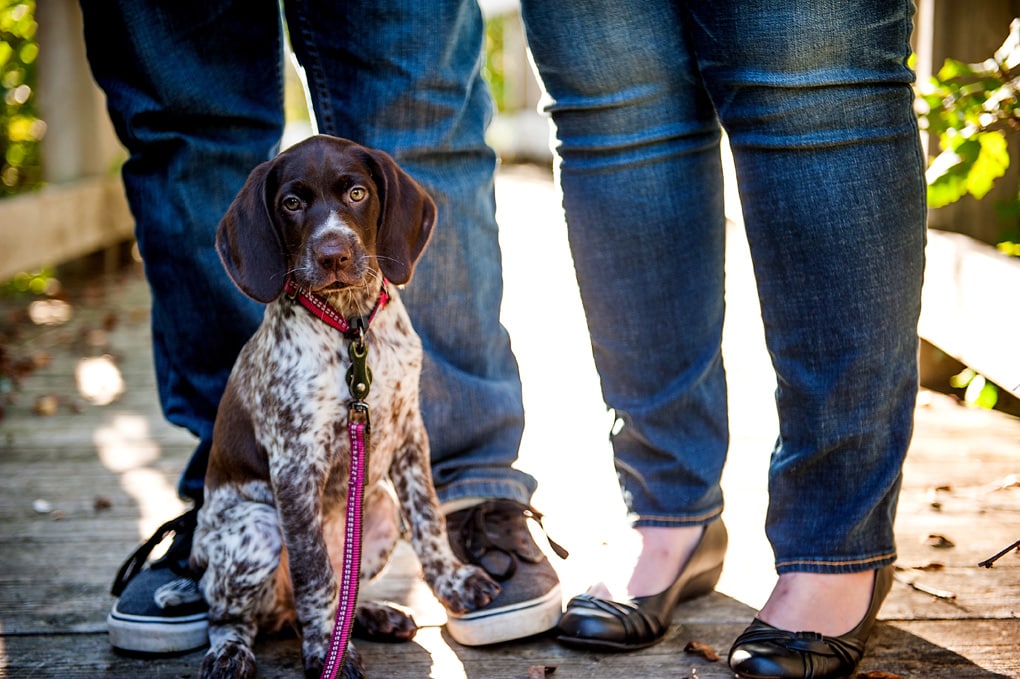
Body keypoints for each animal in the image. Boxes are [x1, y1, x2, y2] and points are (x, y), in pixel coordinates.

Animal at [192, 133, 499, 676]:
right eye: (291, 203)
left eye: (357, 194)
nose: (333, 254)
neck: (350, 324)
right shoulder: (296, 468)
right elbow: (315, 574)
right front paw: (324, 652)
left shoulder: (409, 432)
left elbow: (429, 517)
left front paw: (453, 580)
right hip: (258, 529)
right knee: (231, 613)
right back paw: (232, 651)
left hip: (379, 509)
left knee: (344, 592)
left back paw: (371, 616)